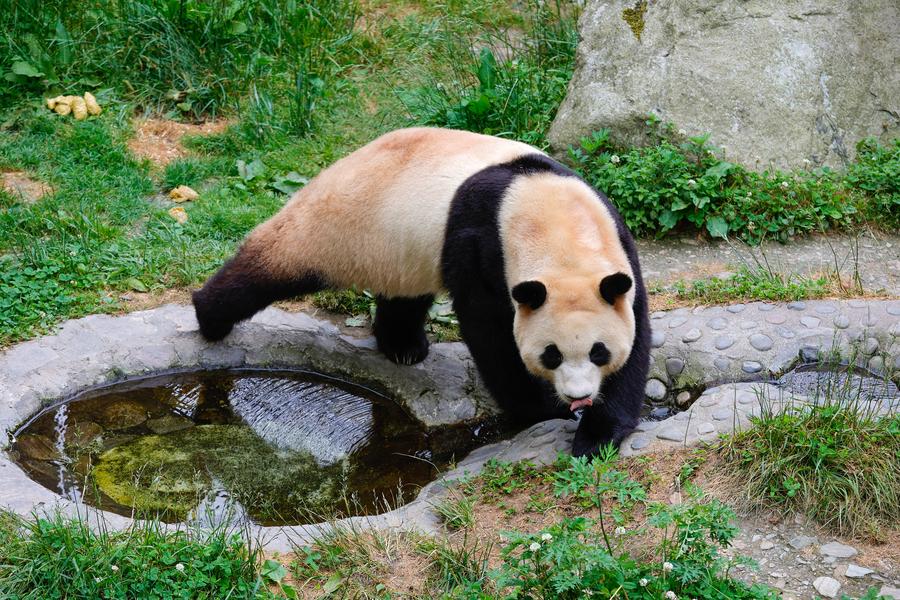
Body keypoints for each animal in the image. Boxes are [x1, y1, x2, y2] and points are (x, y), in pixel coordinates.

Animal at [192, 127, 650, 457]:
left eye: (598, 351)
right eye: (551, 354)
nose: (579, 397)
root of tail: (347, 159)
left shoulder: (617, 246)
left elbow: (635, 330)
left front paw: (598, 433)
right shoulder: (482, 241)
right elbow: (490, 330)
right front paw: (541, 408)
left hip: (401, 245)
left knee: (404, 295)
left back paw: (403, 346)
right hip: (339, 223)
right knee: (273, 265)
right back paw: (209, 316)